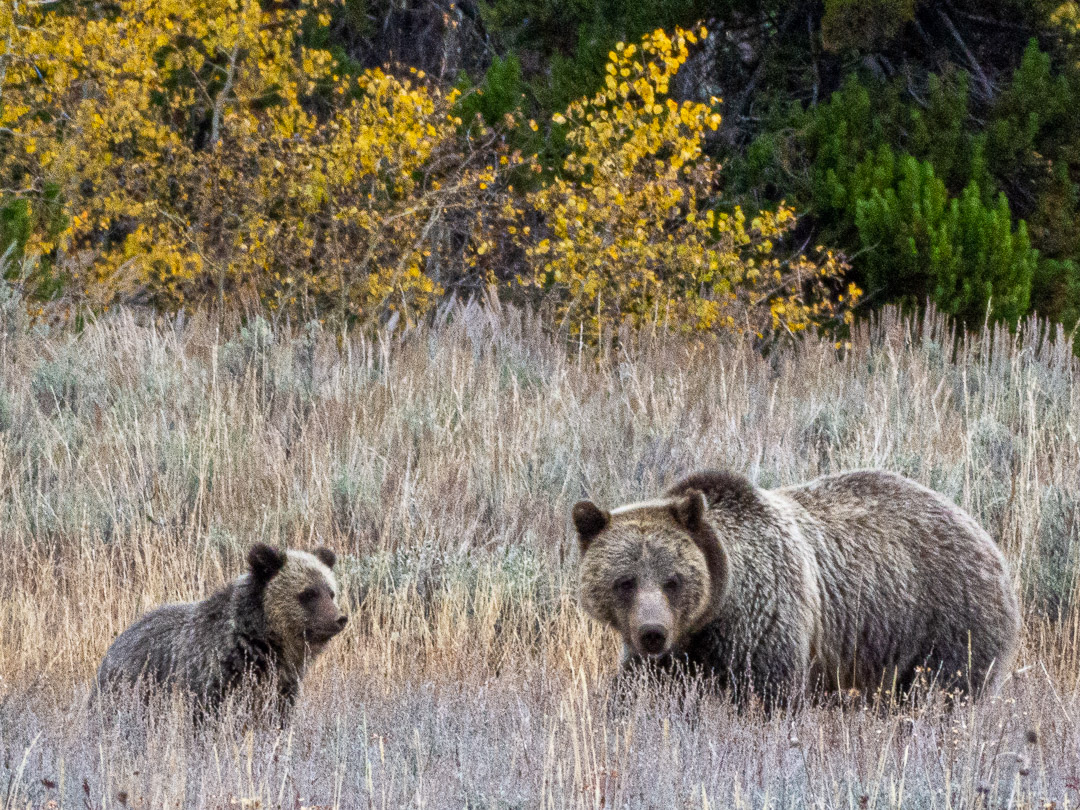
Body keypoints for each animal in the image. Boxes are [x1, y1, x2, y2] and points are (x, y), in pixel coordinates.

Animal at [574, 473, 1019, 708]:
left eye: (673, 579)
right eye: (625, 581)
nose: (653, 632)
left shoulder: (764, 617)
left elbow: (769, 694)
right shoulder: (671, 655)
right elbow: (639, 691)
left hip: (946, 621)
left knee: (946, 691)